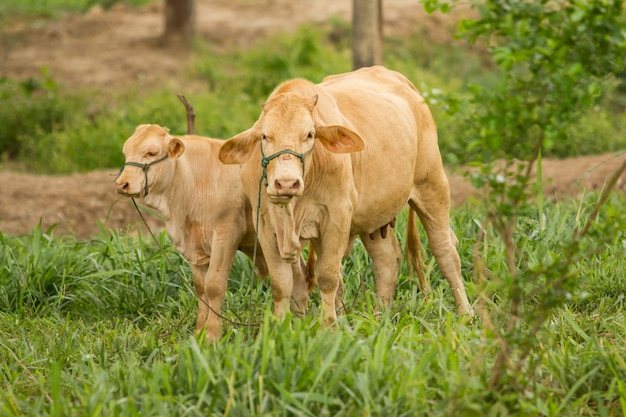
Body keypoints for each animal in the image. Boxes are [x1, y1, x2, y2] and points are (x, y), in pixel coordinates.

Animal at [114, 123, 310, 338]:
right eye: (125, 152)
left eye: (151, 152)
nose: (122, 184)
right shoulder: (194, 247)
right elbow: (201, 289)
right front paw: (199, 332)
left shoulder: (227, 233)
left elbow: (214, 286)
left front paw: (212, 335)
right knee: (300, 278)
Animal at [218, 66, 468, 324]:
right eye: (265, 136)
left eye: (310, 134)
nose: (286, 183)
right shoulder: (265, 224)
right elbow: (282, 283)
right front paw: (280, 324)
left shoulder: (336, 217)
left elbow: (328, 277)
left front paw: (329, 325)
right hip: (374, 219)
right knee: (387, 260)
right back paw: (379, 317)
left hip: (432, 186)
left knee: (445, 251)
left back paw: (466, 314)